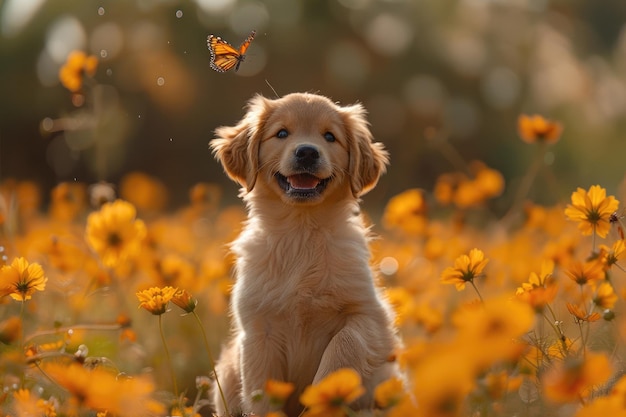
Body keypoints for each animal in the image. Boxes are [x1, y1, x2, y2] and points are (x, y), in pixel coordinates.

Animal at [210, 92, 400, 414]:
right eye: (281, 133)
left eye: (330, 137)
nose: (308, 152)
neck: (302, 232)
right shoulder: (259, 328)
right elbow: (262, 390)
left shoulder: (370, 314)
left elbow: (344, 345)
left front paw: (323, 399)